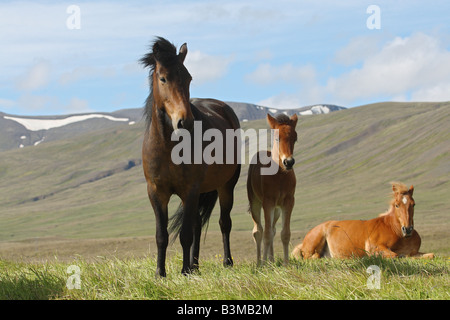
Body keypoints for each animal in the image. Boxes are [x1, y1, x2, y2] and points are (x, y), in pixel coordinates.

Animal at [141, 37, 241, 276]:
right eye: (163, 78)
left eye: (188, 78)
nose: (184, 121)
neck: (167, 147)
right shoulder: (156, 192)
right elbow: (162, 235)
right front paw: (160, 273)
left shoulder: (190, 190)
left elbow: (185, 235)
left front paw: (184, 271)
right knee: (197, 224)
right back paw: (195, 265)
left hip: (226, 186)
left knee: (224, 223)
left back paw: (226, 261)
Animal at [248, 112, 298, 264]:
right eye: (277, 138)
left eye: (295, 138)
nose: (289, 162)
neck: (280, 175)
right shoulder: (267, 202)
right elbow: (266, 234)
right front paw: (263, 264)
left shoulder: (288, 201)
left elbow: (285, 233)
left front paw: (286, 264)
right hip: (255, 203)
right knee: (258, 231)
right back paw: (260, 262)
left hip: (276, 210)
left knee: (273, 229)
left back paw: (271, 260)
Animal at [294, 182, 434, 260]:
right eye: (397, 205)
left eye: (413, 204)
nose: (408, 229)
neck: (397, 232)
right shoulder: (375, 247)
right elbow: (395, 255)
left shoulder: (414, 252)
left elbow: (431, 255)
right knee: (310, 257)